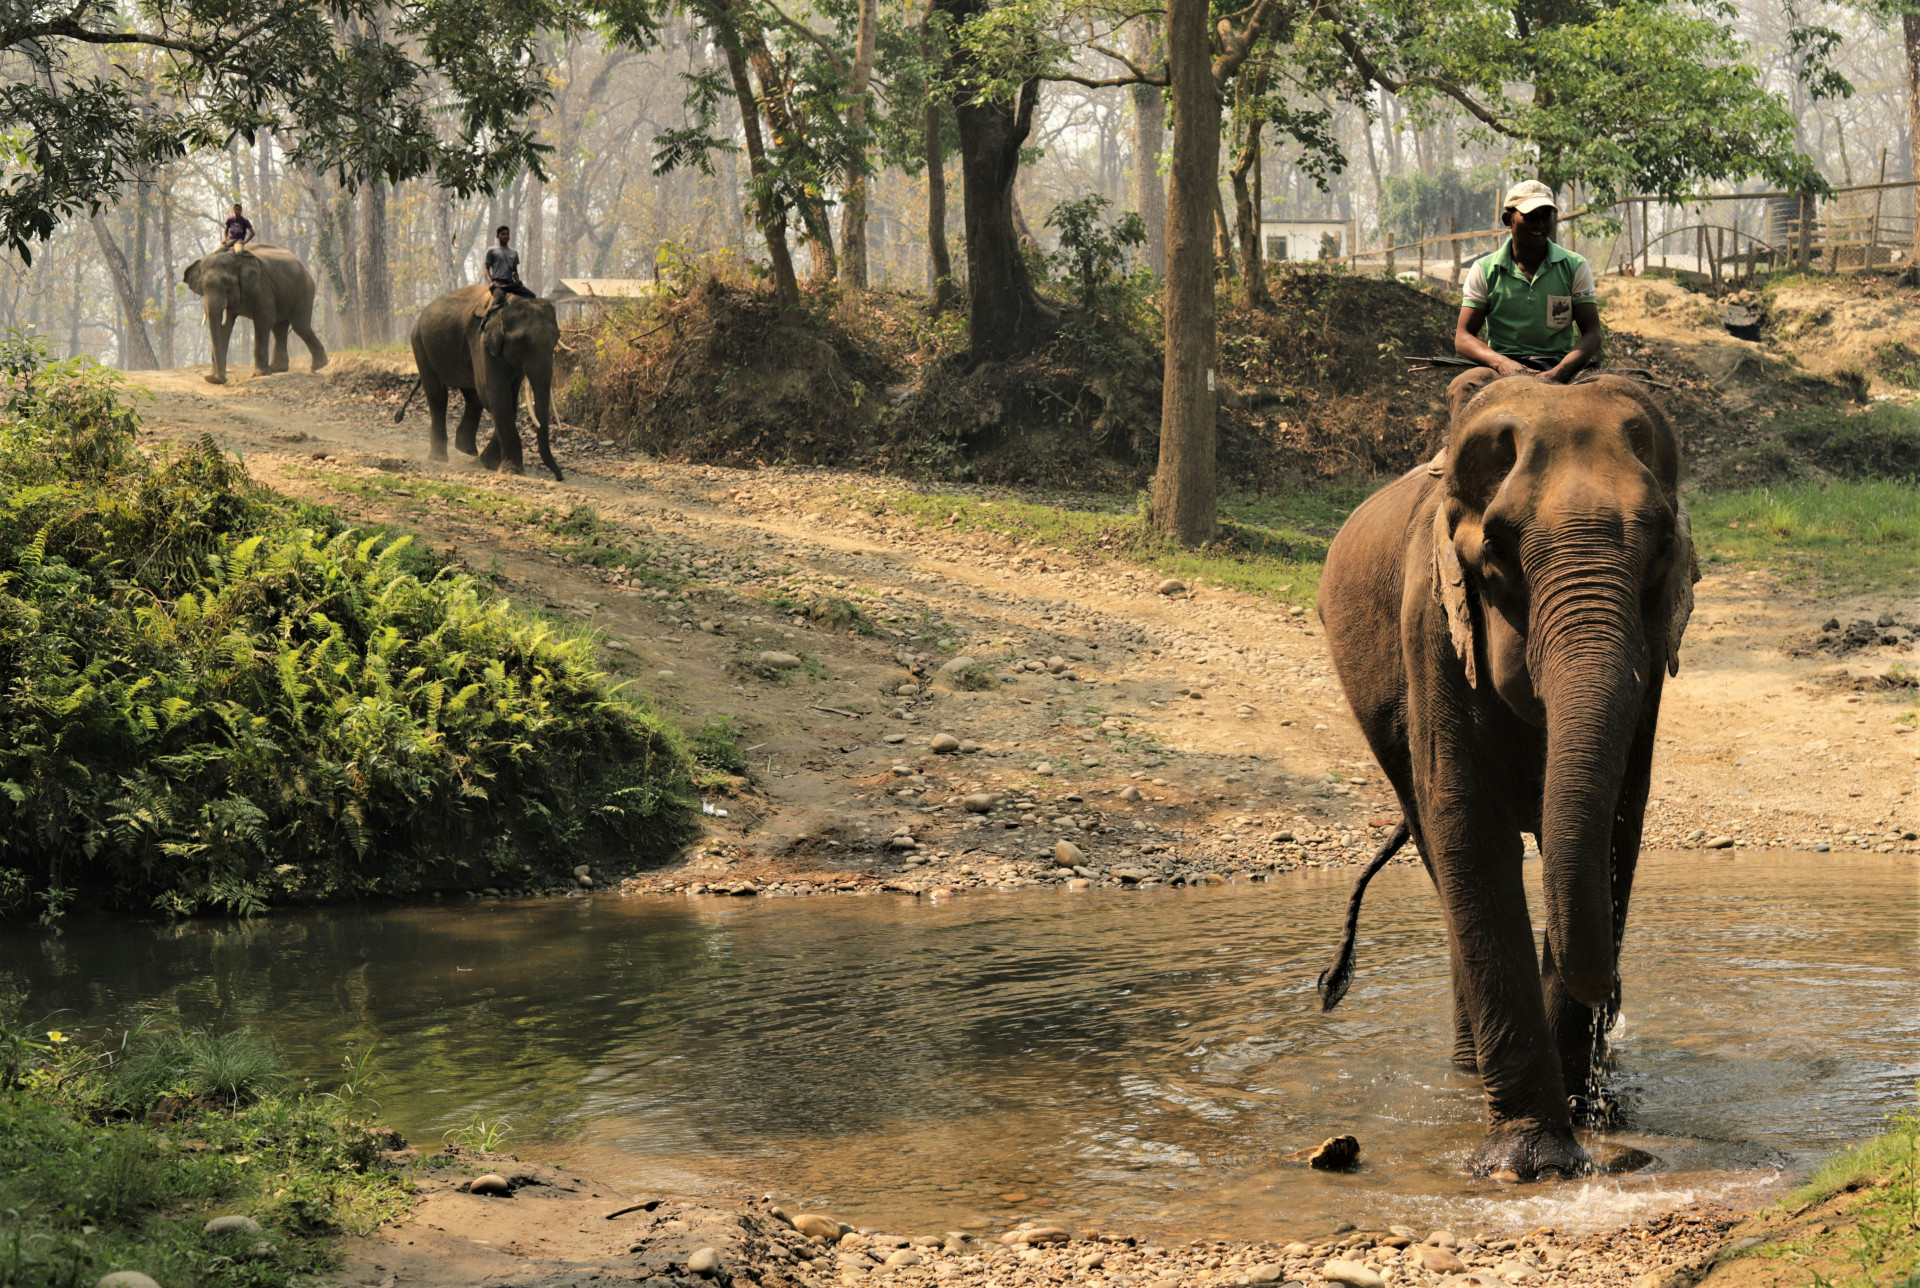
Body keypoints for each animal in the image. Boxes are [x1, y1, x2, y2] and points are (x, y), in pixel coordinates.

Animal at [183, 242, 326, 380]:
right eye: (201, 286)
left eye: (227, 282)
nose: (219, 378)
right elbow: (226, 325)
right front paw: (213, 377)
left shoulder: (261, 286)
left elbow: (264, 319)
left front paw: (258, 375)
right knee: (279, 328)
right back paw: (278, 369)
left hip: (304, 290)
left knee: (300, 326)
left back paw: (319, 366)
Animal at [403, 284, 560, 481]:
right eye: (520, 341)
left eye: (556, 338)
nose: (560, 477)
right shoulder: (481, 341)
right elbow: (495, 395)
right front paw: (511, 470)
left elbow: (509, 400)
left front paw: (488, 464)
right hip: (420, 344)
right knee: (437, 394)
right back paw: (439, 458)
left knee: (472, 396)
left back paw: (467, 450)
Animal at [1320, 368, 1697, 1182]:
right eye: (1495, 549)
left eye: (1660, 548)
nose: (1613, 998)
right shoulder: (1431, 626)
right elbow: (1469, 829)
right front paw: (1529, 1165)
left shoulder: (1650, 672)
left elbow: (1615, 829)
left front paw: (1587, 1118)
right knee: (1436, 847)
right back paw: (1470, 1072)